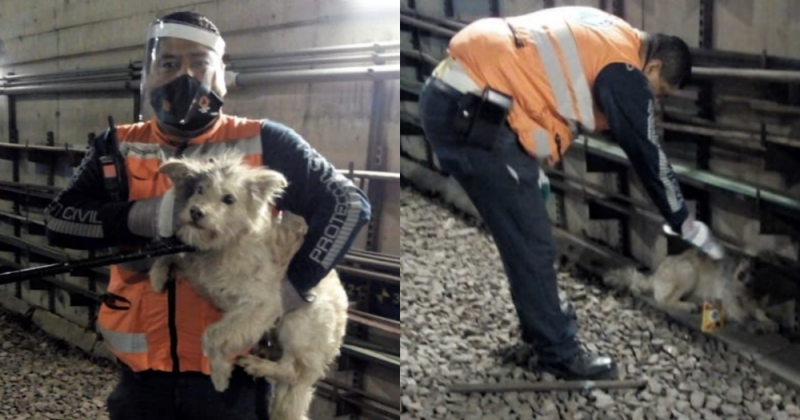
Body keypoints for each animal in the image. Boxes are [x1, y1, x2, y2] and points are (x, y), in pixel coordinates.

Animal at [150, 152, 350, 420]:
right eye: (199, 190)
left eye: (229, 199)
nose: (195, 212)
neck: (226, 245)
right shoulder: (199, 271)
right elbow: (171, 256)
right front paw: (157, 277)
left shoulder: (258, 307)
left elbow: (213, 334)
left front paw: (220, 375)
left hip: (298, 325)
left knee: (292, 370)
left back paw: (258, 365)